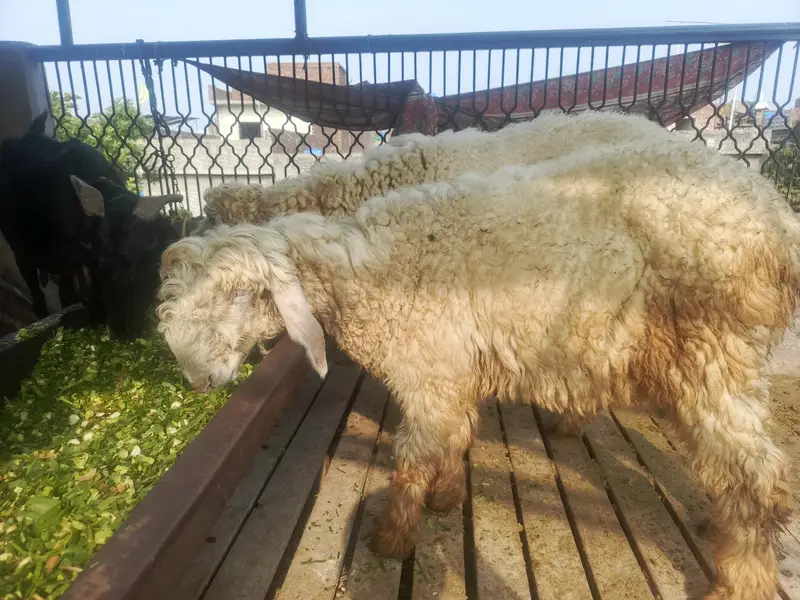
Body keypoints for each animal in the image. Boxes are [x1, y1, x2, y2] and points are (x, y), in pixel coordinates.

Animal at [156, 133, 800, 600]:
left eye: (240, 295)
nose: (195, 379)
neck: (371, 268)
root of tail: (778, 218)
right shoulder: (452, 370)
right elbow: (455, 436)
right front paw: (447, 498)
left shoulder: (428, 370)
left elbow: (413, 459)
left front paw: (391, 539)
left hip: (716, 354)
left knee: (757, 474)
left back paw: (738, 583)